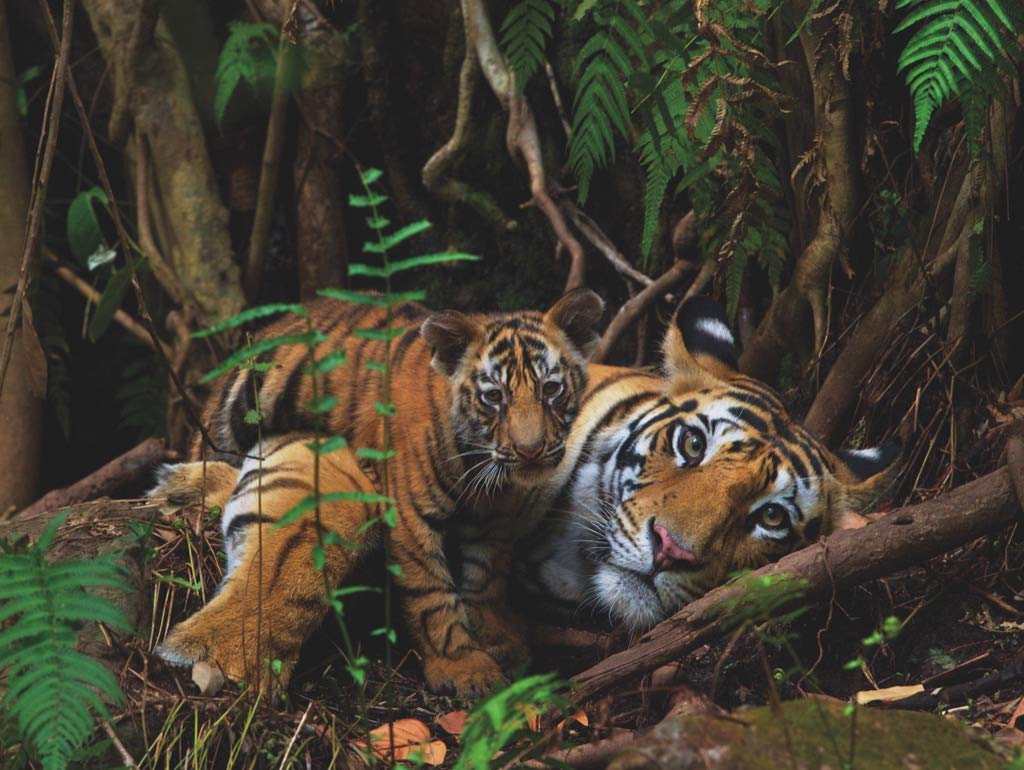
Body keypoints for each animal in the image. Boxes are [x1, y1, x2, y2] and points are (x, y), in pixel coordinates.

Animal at [150, 289, 605, 696]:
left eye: (551, 389)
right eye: (494, 396)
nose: (531, 450)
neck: (482, 467)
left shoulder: (493, 521)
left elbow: (486, 578)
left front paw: (496, 638)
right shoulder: (410, 514)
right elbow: (431, 594)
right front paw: (464, 669)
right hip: (230, 417)